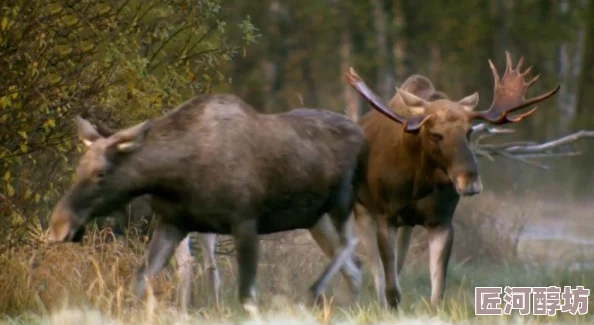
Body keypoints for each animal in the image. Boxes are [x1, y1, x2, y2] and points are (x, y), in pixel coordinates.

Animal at [48, 92, 368, 316]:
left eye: (101, 173)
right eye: (79, 168)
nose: (59, 225)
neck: (176, 176)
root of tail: (361, 131)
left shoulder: (246, 222)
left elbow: (246, 296)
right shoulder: (173, 225)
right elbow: (139, 282)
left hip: (343, 200)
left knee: (352, 244)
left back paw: (316, 289)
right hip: (316, 219)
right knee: (354, 266)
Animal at [344, 52, 556, 310]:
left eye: (469, 131)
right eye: (435, 134)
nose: (470, 182)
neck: (418, 182)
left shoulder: (442, 221)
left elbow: (437, 291)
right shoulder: (386, 216)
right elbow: (390, 286)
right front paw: (389, 307)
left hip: (406, 224)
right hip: (362, 210)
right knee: (375, 269)